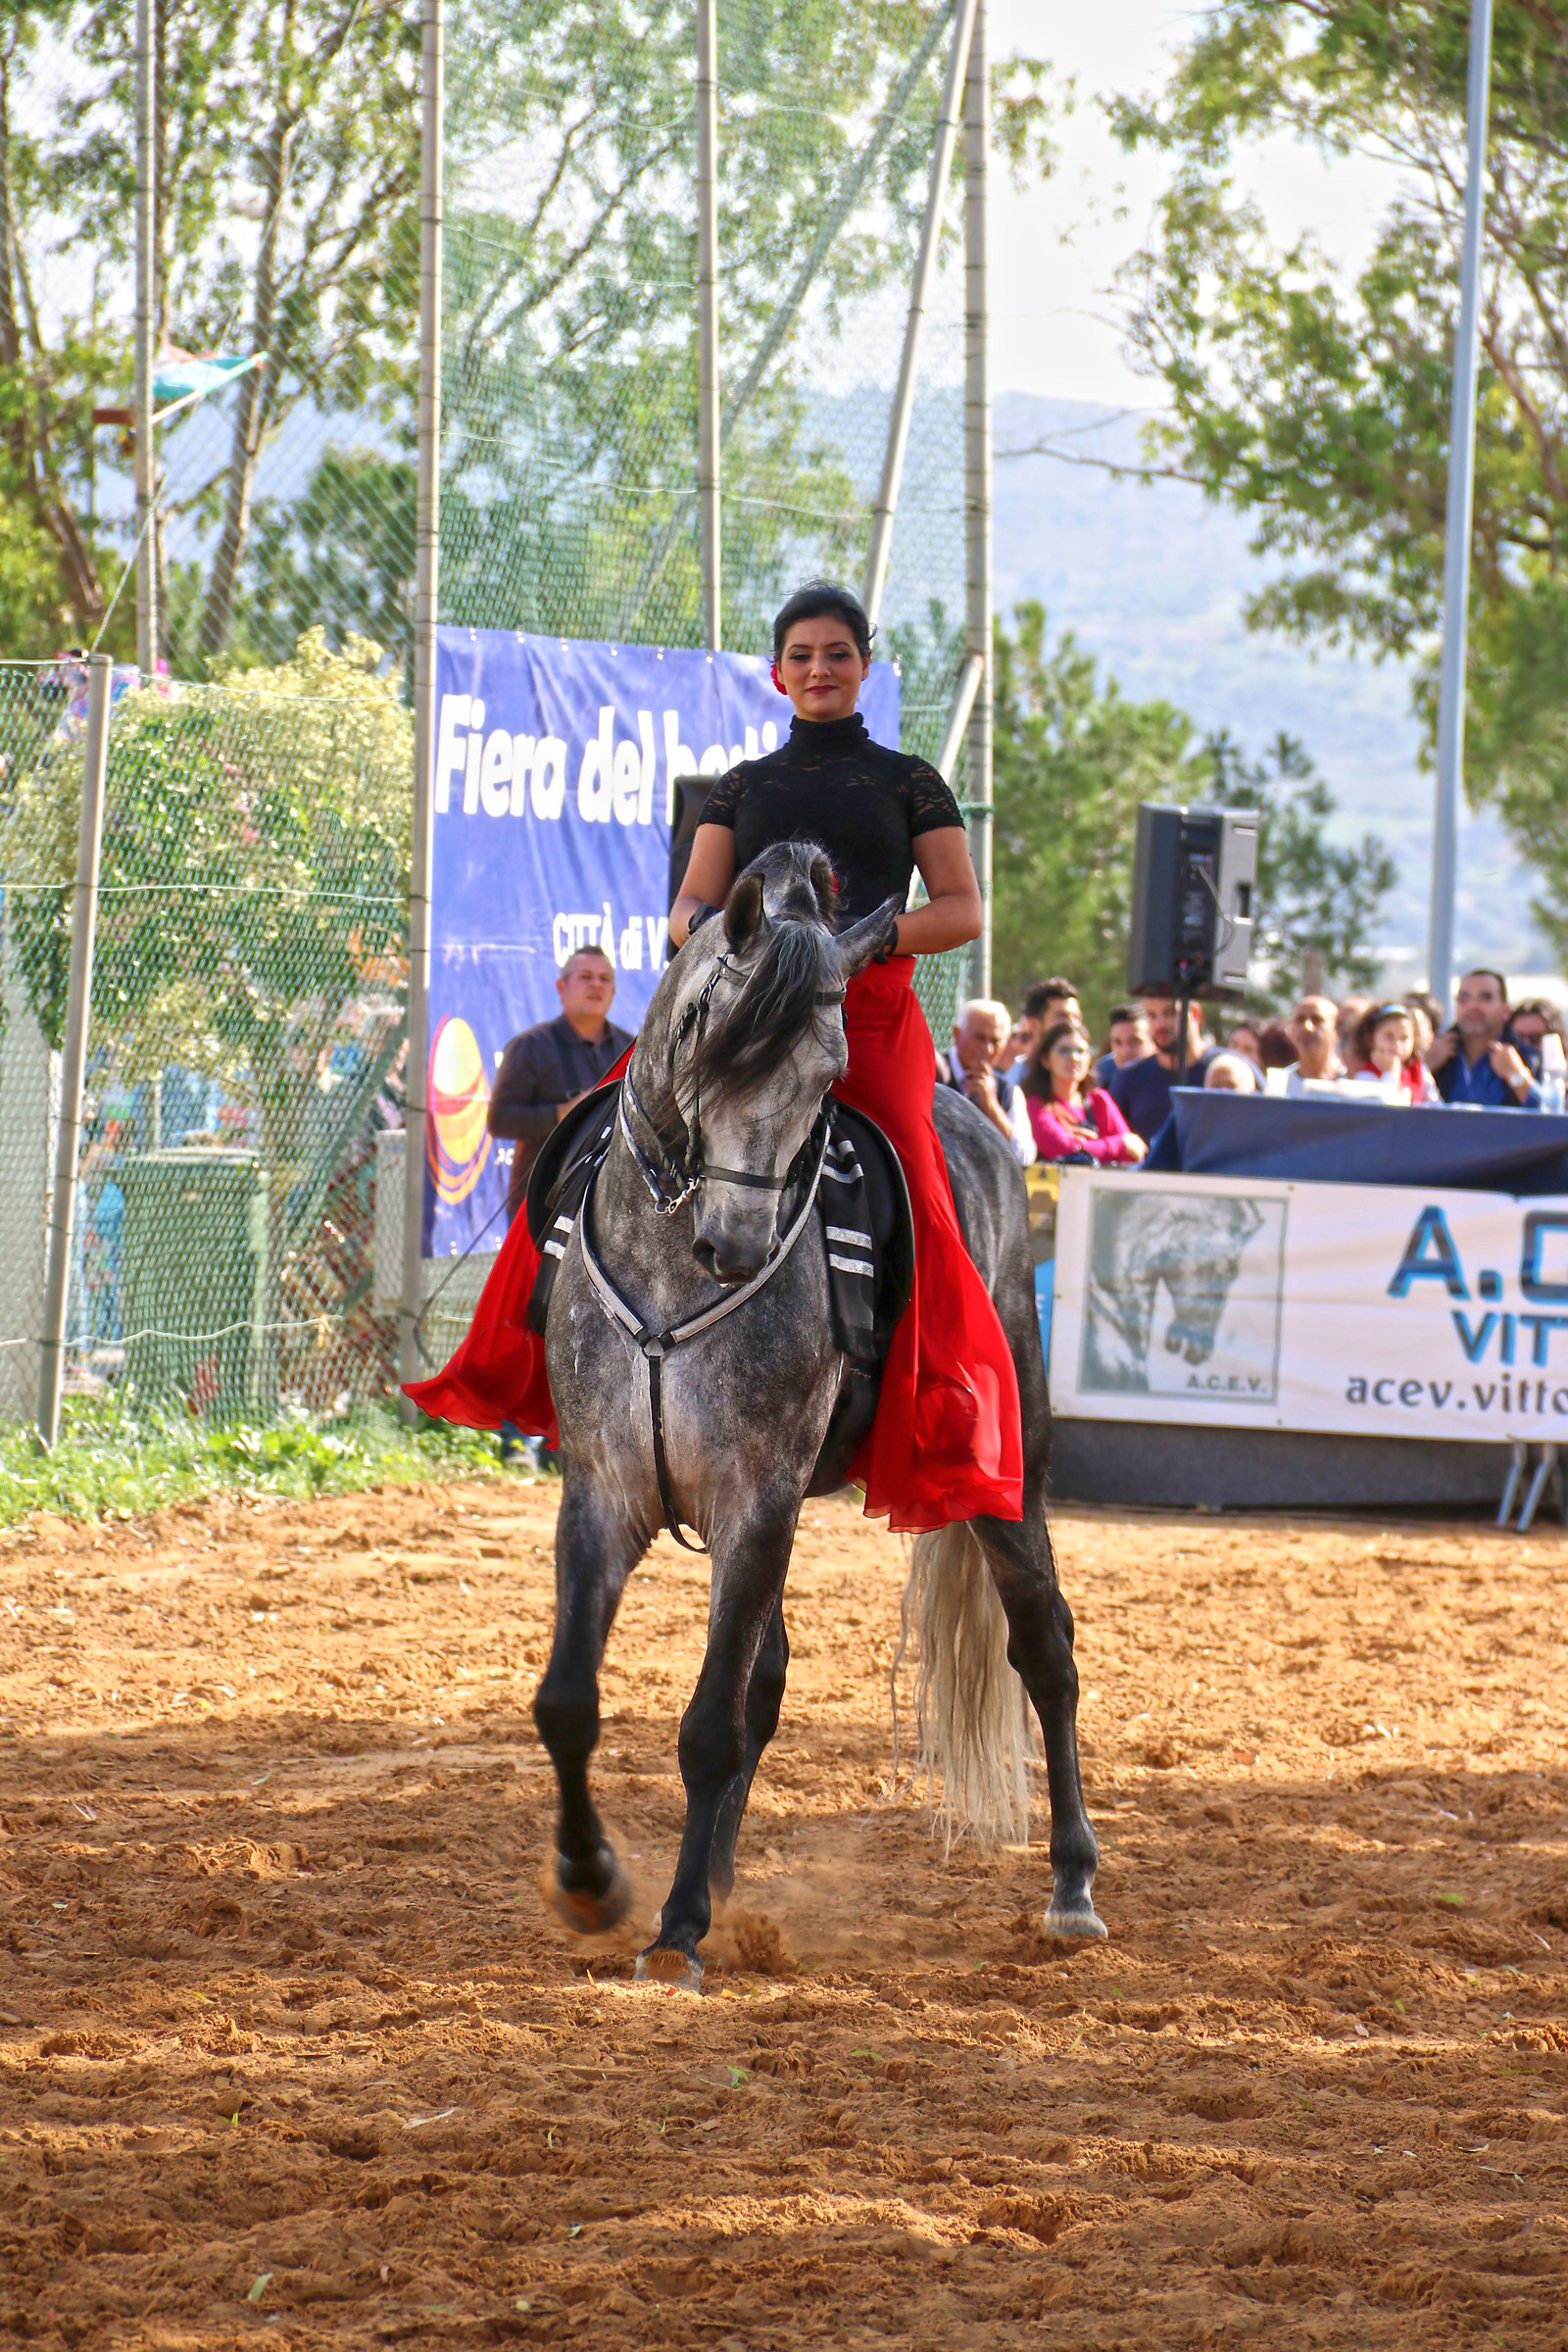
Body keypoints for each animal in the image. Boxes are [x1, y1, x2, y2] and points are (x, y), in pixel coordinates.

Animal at [532, 839, 1103, 1987]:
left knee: (1044, 1647)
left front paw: (673, 1932)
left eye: (827, 1075)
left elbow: (709, 1726)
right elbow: (571, 1702)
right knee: (769, 1678)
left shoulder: (757, 1499)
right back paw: (712, 1880)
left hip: (1007, 1475)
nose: (737, 1245)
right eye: (712, 1039)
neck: (672, 1269)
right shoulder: (605, 1491)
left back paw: (1071, 1885)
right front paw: (590, 1880)